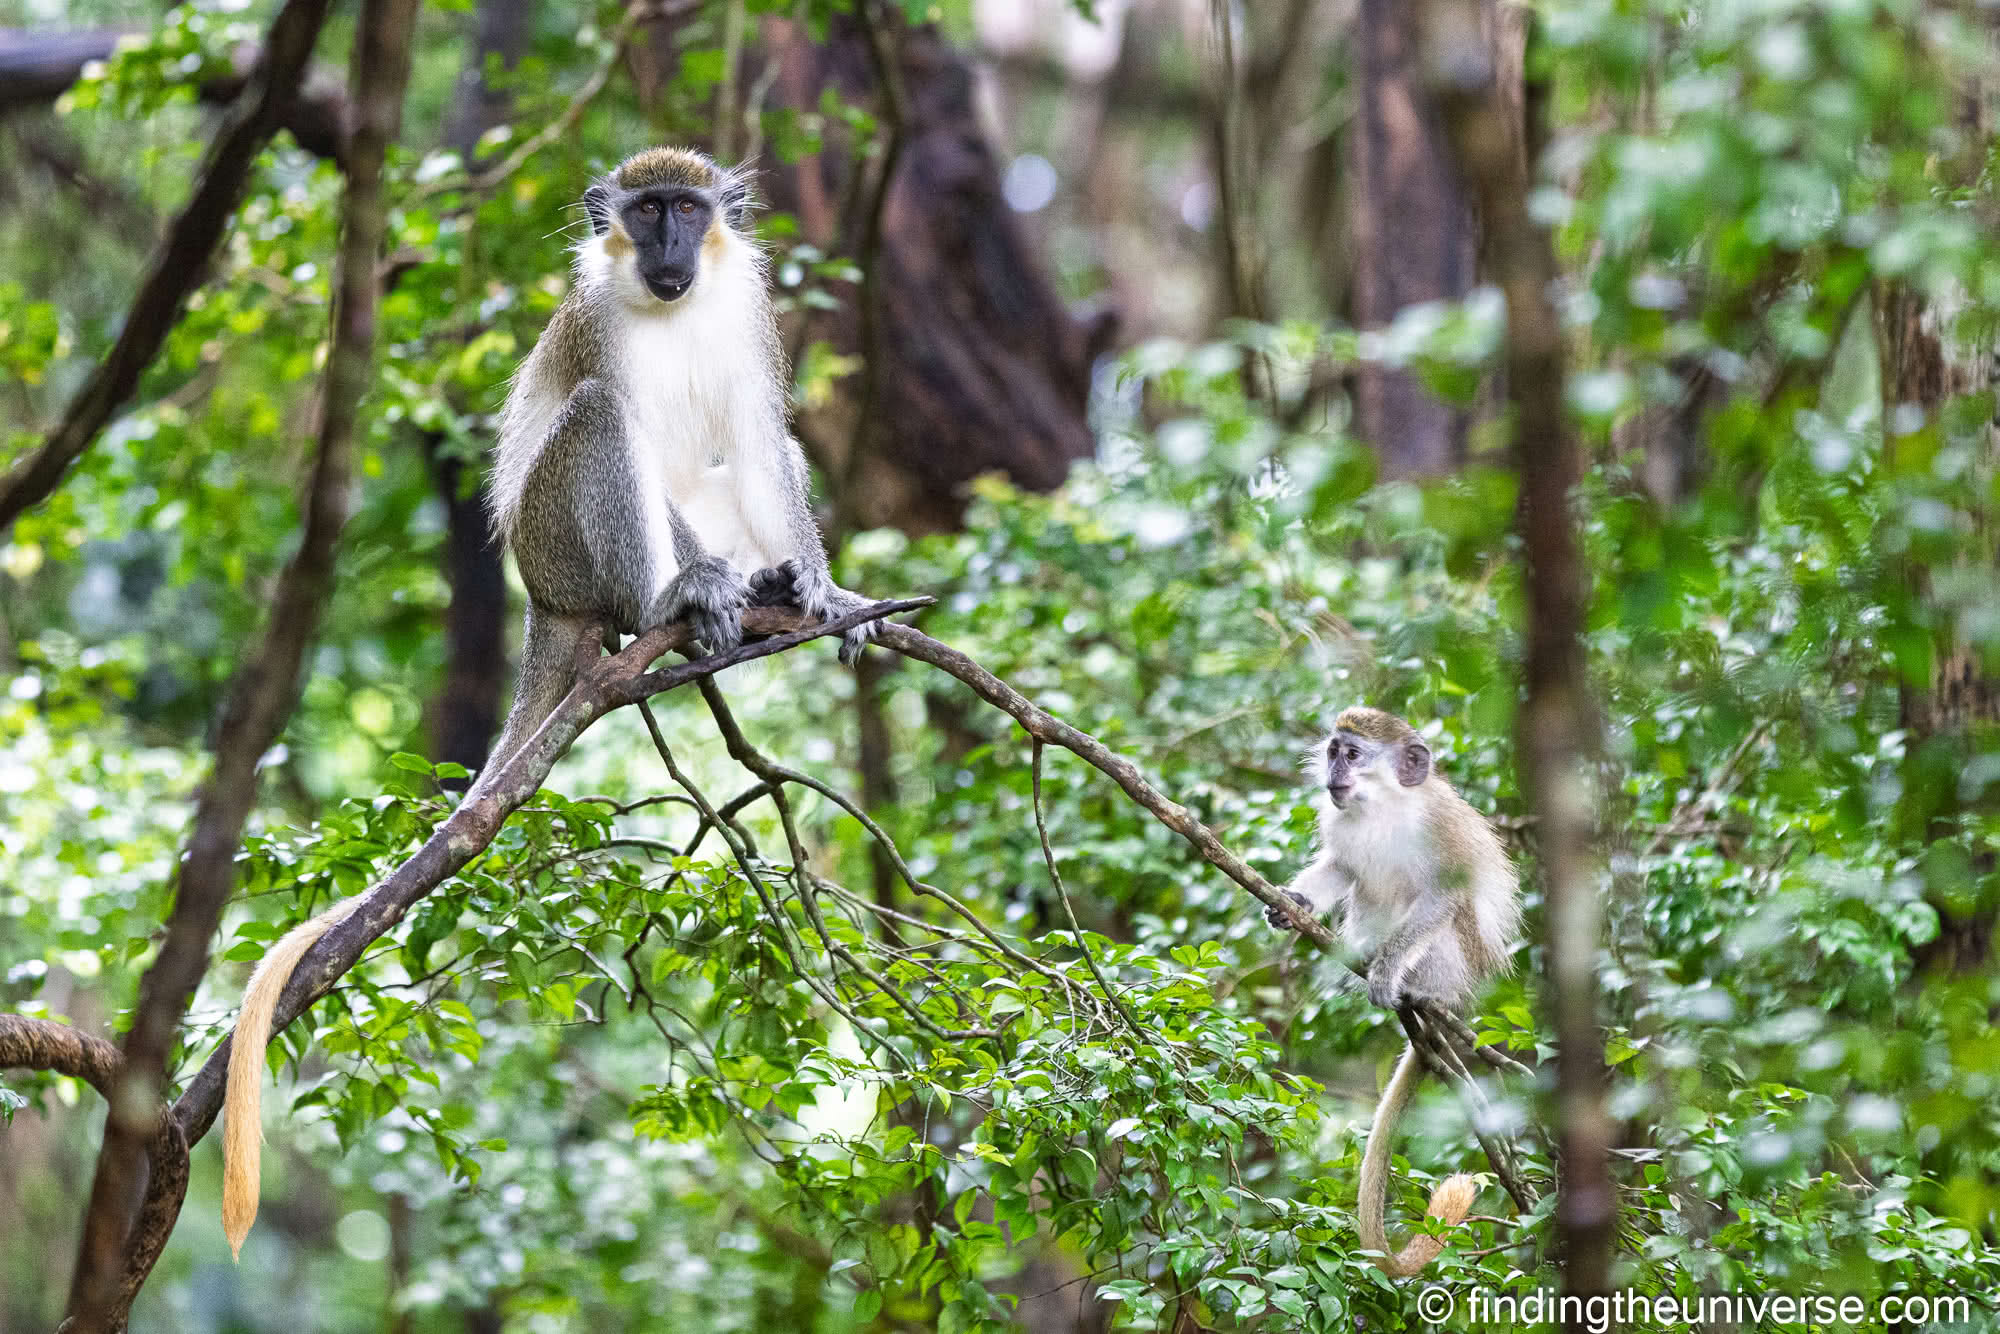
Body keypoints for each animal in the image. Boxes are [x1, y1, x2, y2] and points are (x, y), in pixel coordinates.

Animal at [222, 147, 875, 1258]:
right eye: (645, 212)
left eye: (687, 209)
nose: (666, 246)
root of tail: (543, 595)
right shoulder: (591, 325)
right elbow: (612, 404)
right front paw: (697, 590)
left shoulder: (746, 311)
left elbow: (761, 437)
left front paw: (822, 589)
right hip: (557, 541)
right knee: (603, 419)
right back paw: (672, 600)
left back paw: (767, 588)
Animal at [1267, 706, 1520, 1277]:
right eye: (1333, 750)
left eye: (1353, 754)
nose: (1333, 772)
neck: (1382, 808)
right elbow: (1342, 867)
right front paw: (1295, 902)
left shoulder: (1437, 830)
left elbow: (1445, 894)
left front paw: (1385, 973)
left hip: (1450, 965)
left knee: (1447, 916)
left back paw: (1401, 984)